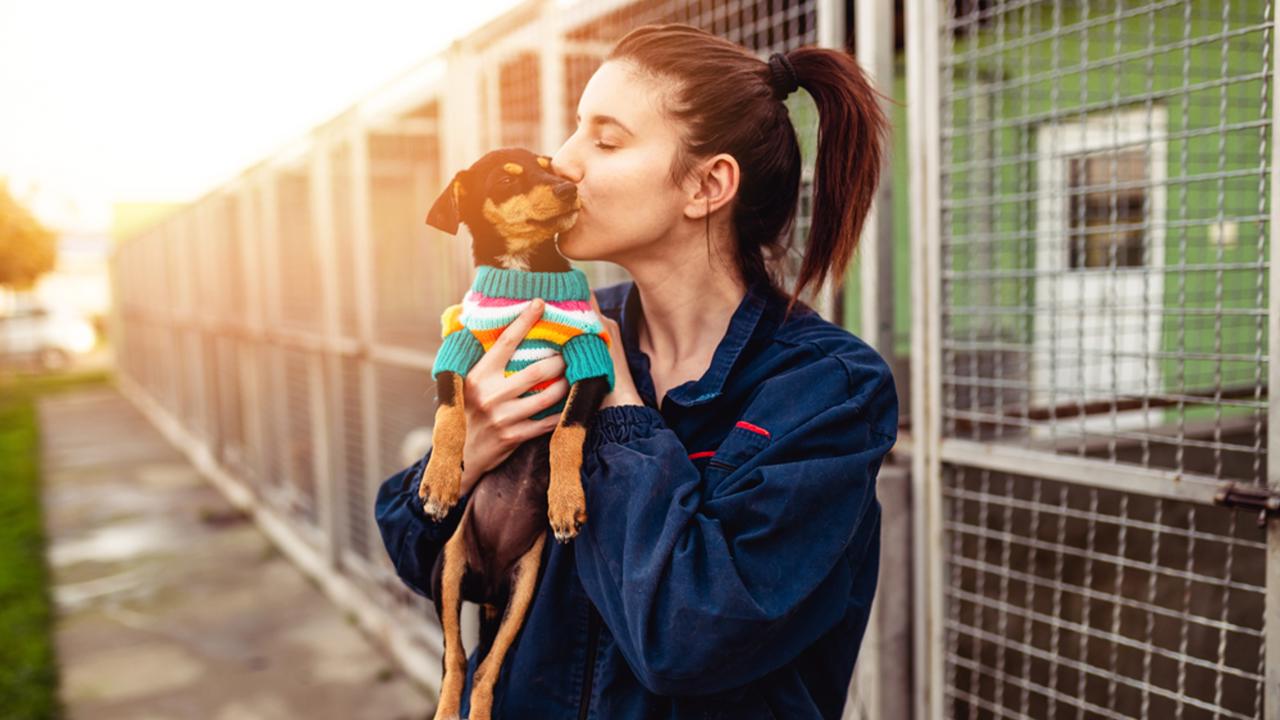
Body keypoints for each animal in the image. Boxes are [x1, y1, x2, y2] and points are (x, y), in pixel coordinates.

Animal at [417, 147, 611, 717]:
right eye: (505, 181)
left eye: (552, 166)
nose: (569, 190)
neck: (525, 277)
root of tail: (489, 589)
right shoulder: (456, 345)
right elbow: (450, 414)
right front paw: (440, 481)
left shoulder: (590, 359)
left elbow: (565, 432)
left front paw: (564, 500)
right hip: (448, 567)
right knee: (455, 660)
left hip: (524, 587)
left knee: (487, 667)